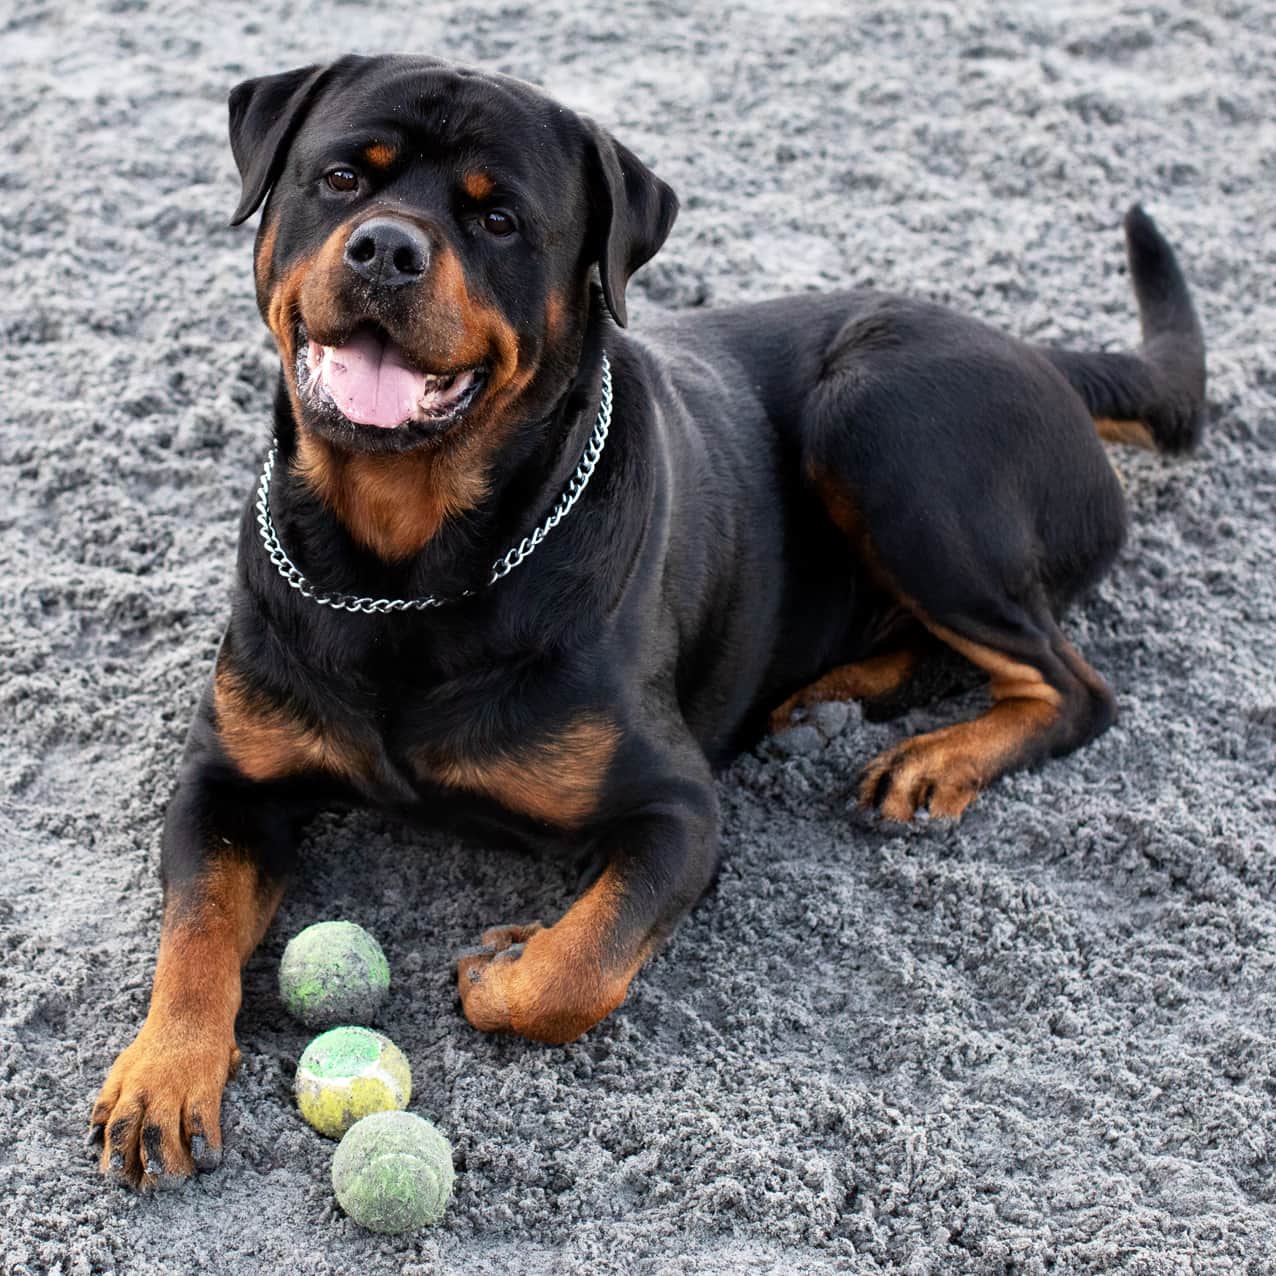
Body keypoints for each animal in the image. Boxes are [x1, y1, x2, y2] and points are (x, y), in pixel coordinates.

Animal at [89, 49, 1204, 1184]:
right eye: (343, 178)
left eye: (500, 222)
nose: (387, 248)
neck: (404, 563)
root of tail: (1043, 355)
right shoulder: (227, 778)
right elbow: (194, 932)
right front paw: (162, 1073)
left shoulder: (678, 809)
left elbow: (573, 972)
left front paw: (504, 965)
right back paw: (827, 708)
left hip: (882, 422)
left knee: (1071, 684)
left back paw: (935, 759)